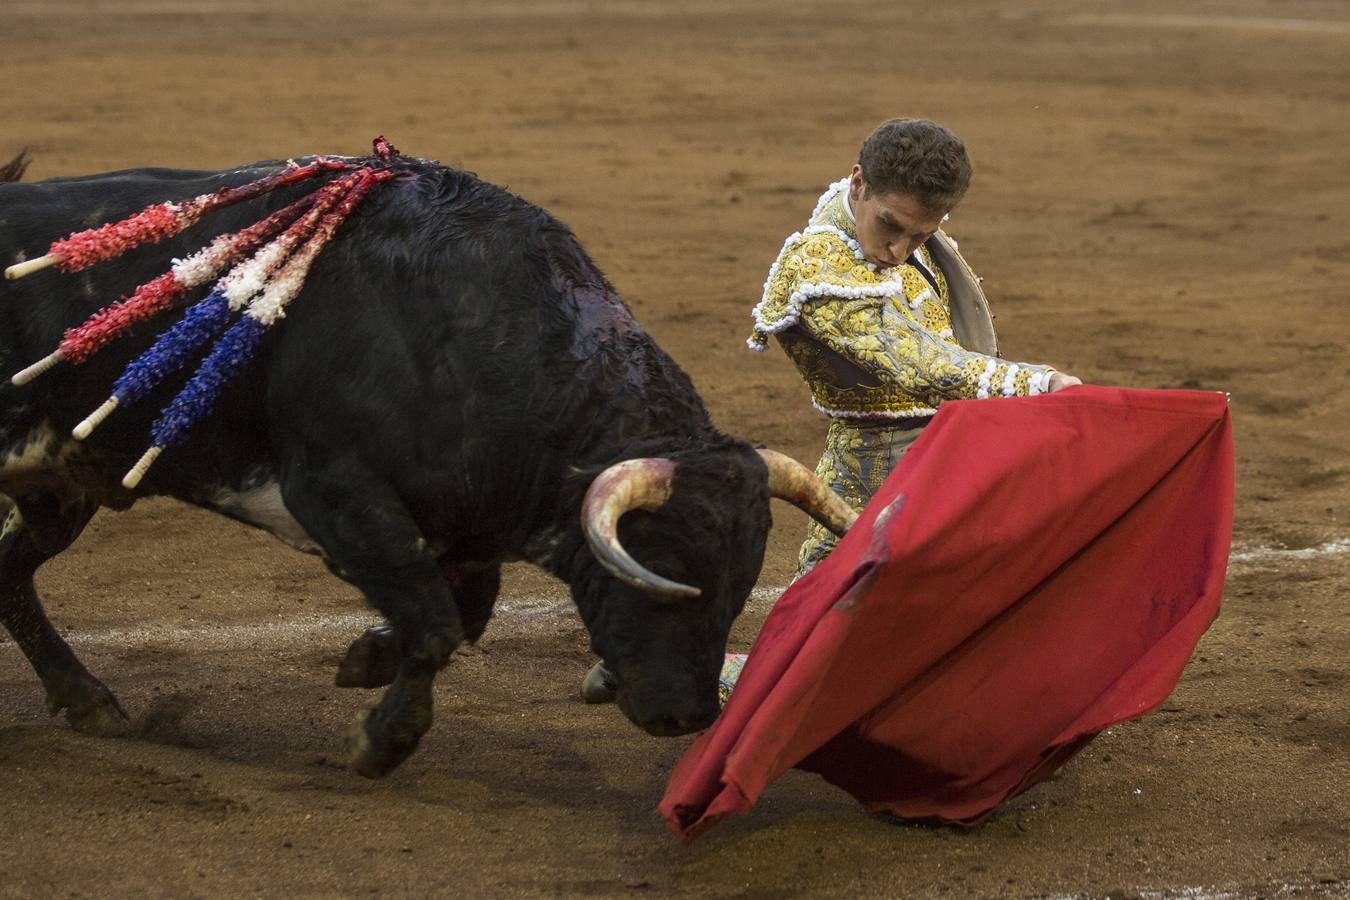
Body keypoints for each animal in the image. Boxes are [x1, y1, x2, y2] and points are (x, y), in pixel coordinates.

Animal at [0, 155, 847, 777]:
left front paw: (368, 657)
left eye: (741, 589)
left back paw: (88, 701)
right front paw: (381, 741)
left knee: (13, 573)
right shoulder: (335, 493)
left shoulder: (465, 529)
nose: (688, 717)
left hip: (60, 487)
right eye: (662, 570)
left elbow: (455, 618)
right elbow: (435, 621)